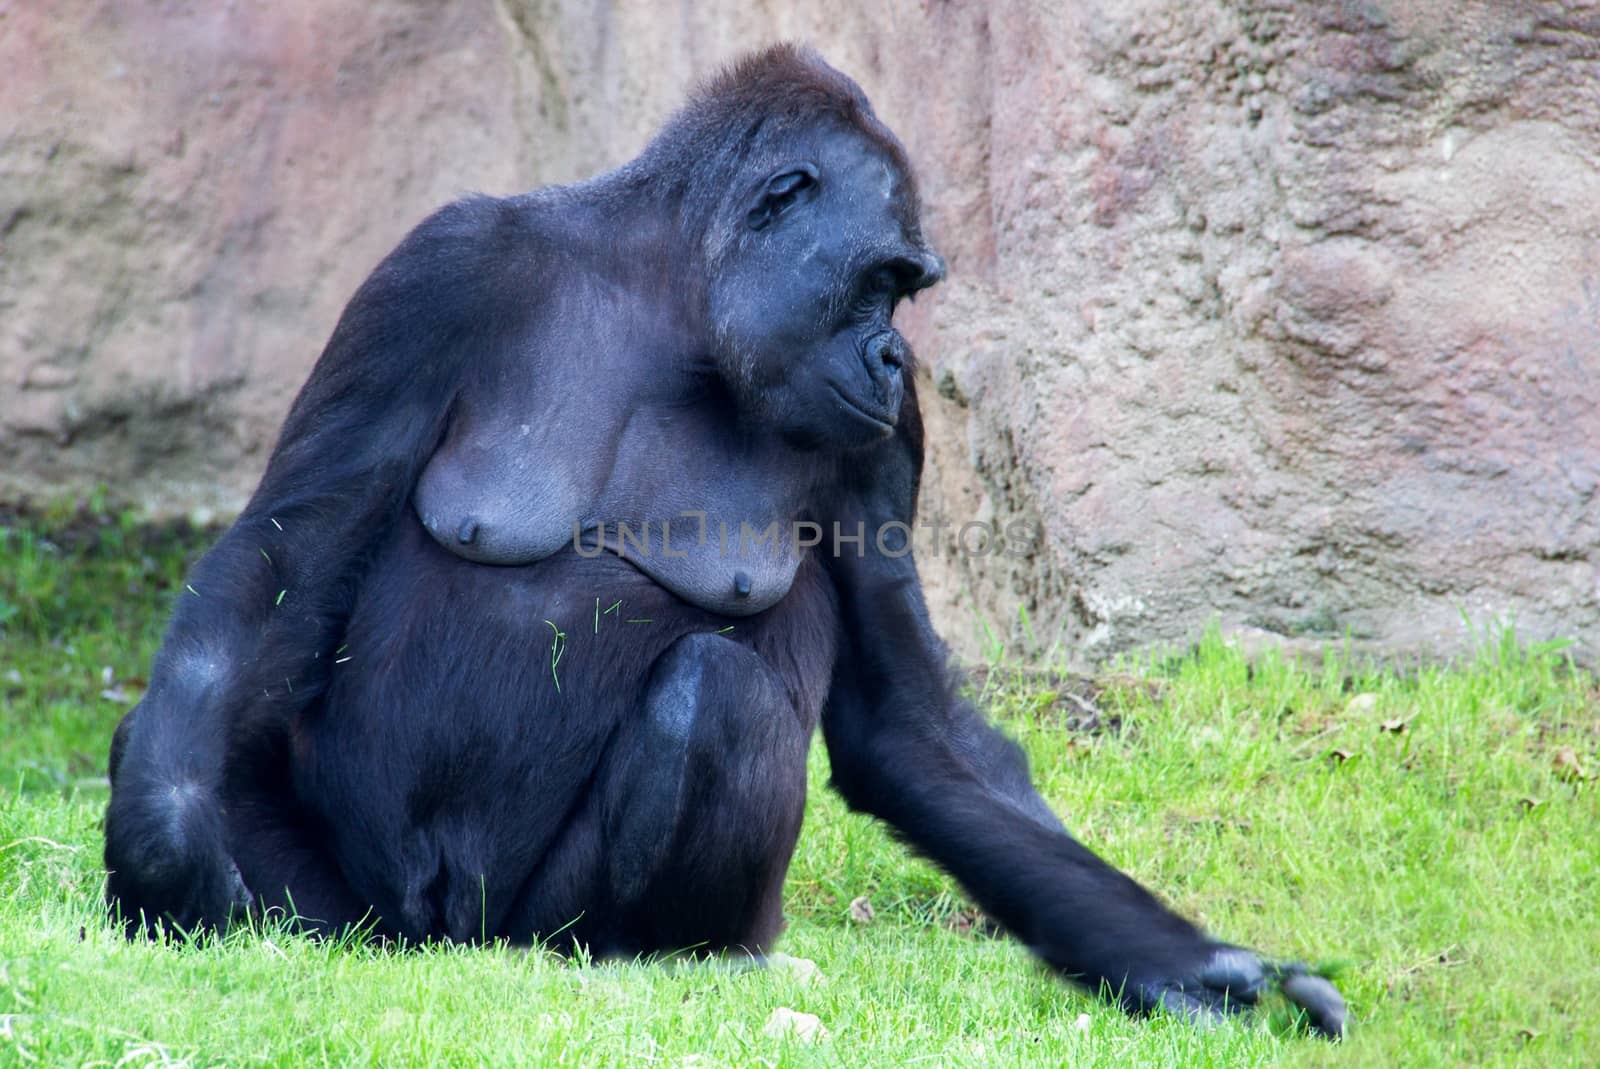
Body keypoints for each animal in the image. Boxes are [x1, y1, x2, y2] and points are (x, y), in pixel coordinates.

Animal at [100, 46, 1344, 1036]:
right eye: (884, 281)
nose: (895, 357)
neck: (675, 305)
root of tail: (445, 942)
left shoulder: (888, 437)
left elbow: (907, 721)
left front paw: (1195, 969)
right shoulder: (438, 271)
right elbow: (288, 555)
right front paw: (163, 838)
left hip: (535, 935)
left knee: (715, 698)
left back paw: (670, 958)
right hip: (354, 919)